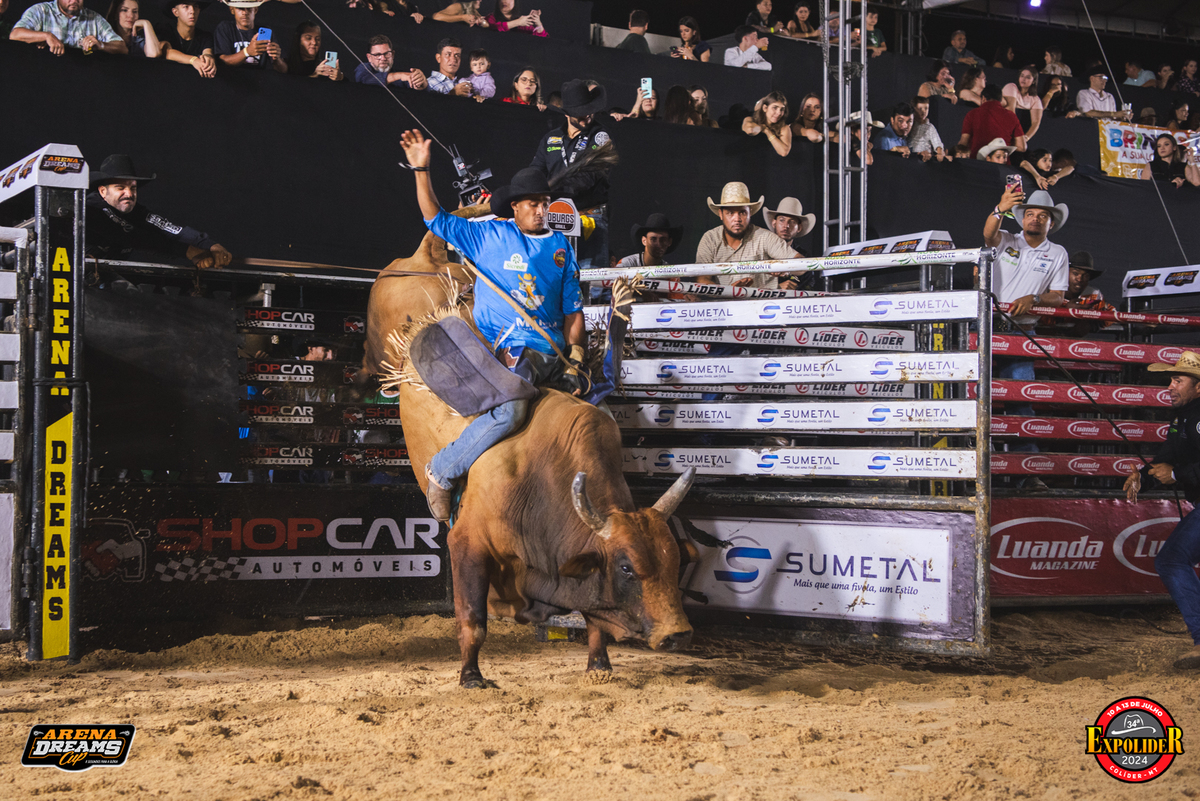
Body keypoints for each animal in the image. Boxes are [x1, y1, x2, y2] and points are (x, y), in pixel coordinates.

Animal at [365, 211, 698, 688]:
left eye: (673, 562)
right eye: (627, 568)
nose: (677, 633)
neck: (539, 480)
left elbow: (595, 619)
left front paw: (599, 665)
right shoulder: (467, 544)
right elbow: (473, 620)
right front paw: (471, 675)